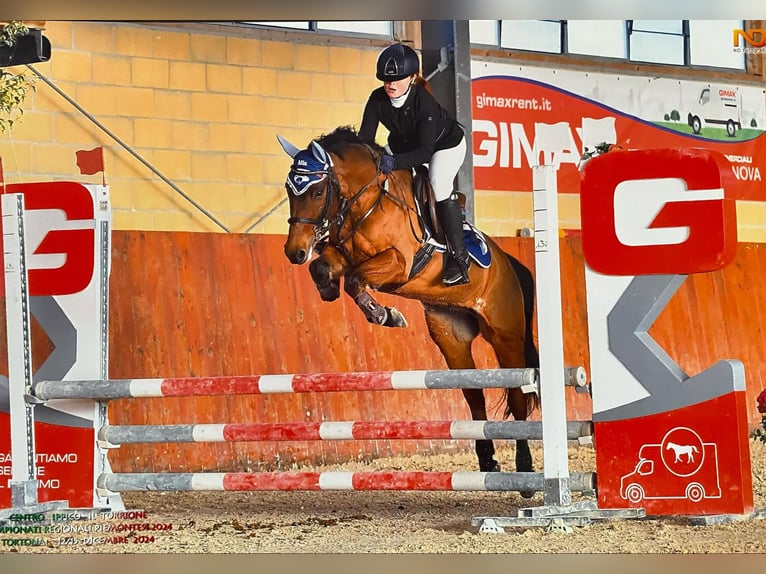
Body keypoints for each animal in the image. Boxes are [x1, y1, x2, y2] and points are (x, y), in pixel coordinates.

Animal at [278, 127, 540, 490]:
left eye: (317, 191)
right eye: (289, 190)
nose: (295, 252)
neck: (365, 203)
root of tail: (510, 264)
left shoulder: (398, 263)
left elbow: (356, 282)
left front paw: (386, 315)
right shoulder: (344, 256)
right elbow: (325, 268)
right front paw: (328, 288)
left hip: (505, 335)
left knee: (516, 393)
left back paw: (525, 467)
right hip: (451, 335)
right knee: (473, 394)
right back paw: (487, 460)